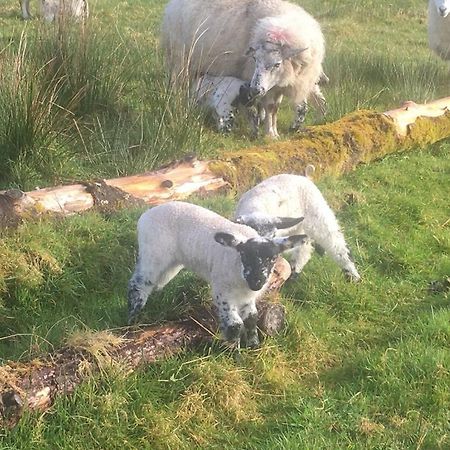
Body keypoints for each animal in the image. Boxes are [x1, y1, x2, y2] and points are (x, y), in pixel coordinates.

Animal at [126, 201, 306, 348]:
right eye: (244, 255)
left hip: (172, 262)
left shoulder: (248, 298)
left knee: (156, 282)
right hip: (153, 253)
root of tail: (146, 215)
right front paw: (233, 355)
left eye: (273, 257)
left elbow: (251, 318)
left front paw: (254, 347)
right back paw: (133, 318)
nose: (257, 281)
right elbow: (235, 324)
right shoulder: (223, 293)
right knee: (138, 283)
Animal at [160, 0, 326, 138]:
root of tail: (172, 5)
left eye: (277, 64)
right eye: (254, 59)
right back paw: (177, 108)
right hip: (179, 61)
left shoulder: (281, 84)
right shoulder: (267, 86)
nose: (255, 89)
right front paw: (271, 134)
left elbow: (276, 108)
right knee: (177, 89)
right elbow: (270, 107)